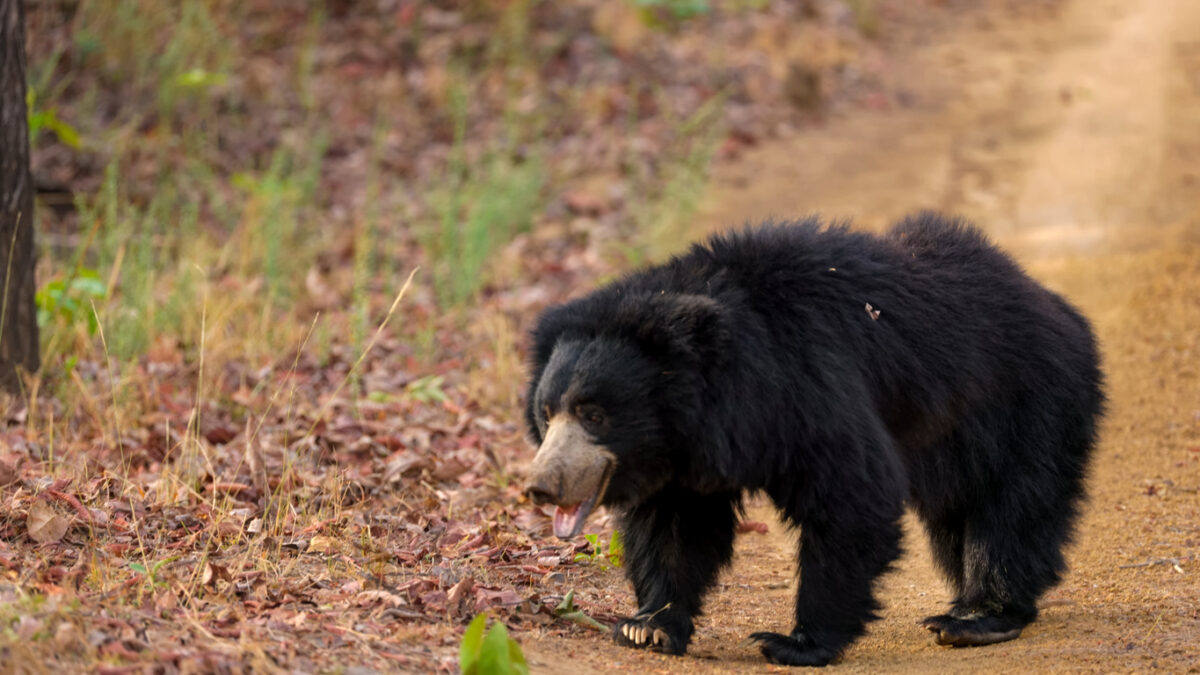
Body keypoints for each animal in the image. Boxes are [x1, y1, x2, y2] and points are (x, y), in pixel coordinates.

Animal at [521, 213, 1104, 667]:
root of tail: (1060, 308)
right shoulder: (684, 455)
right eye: (546, 414)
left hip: (1028, 403)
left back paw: (979, 617)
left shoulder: (809, 385)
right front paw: (647, 626)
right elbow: (675, 528)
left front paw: (794, 643)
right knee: (957, 515)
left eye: (594, 414)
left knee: (1011, 507)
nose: (541, 487)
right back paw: (965, 604)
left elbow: (851, 494)